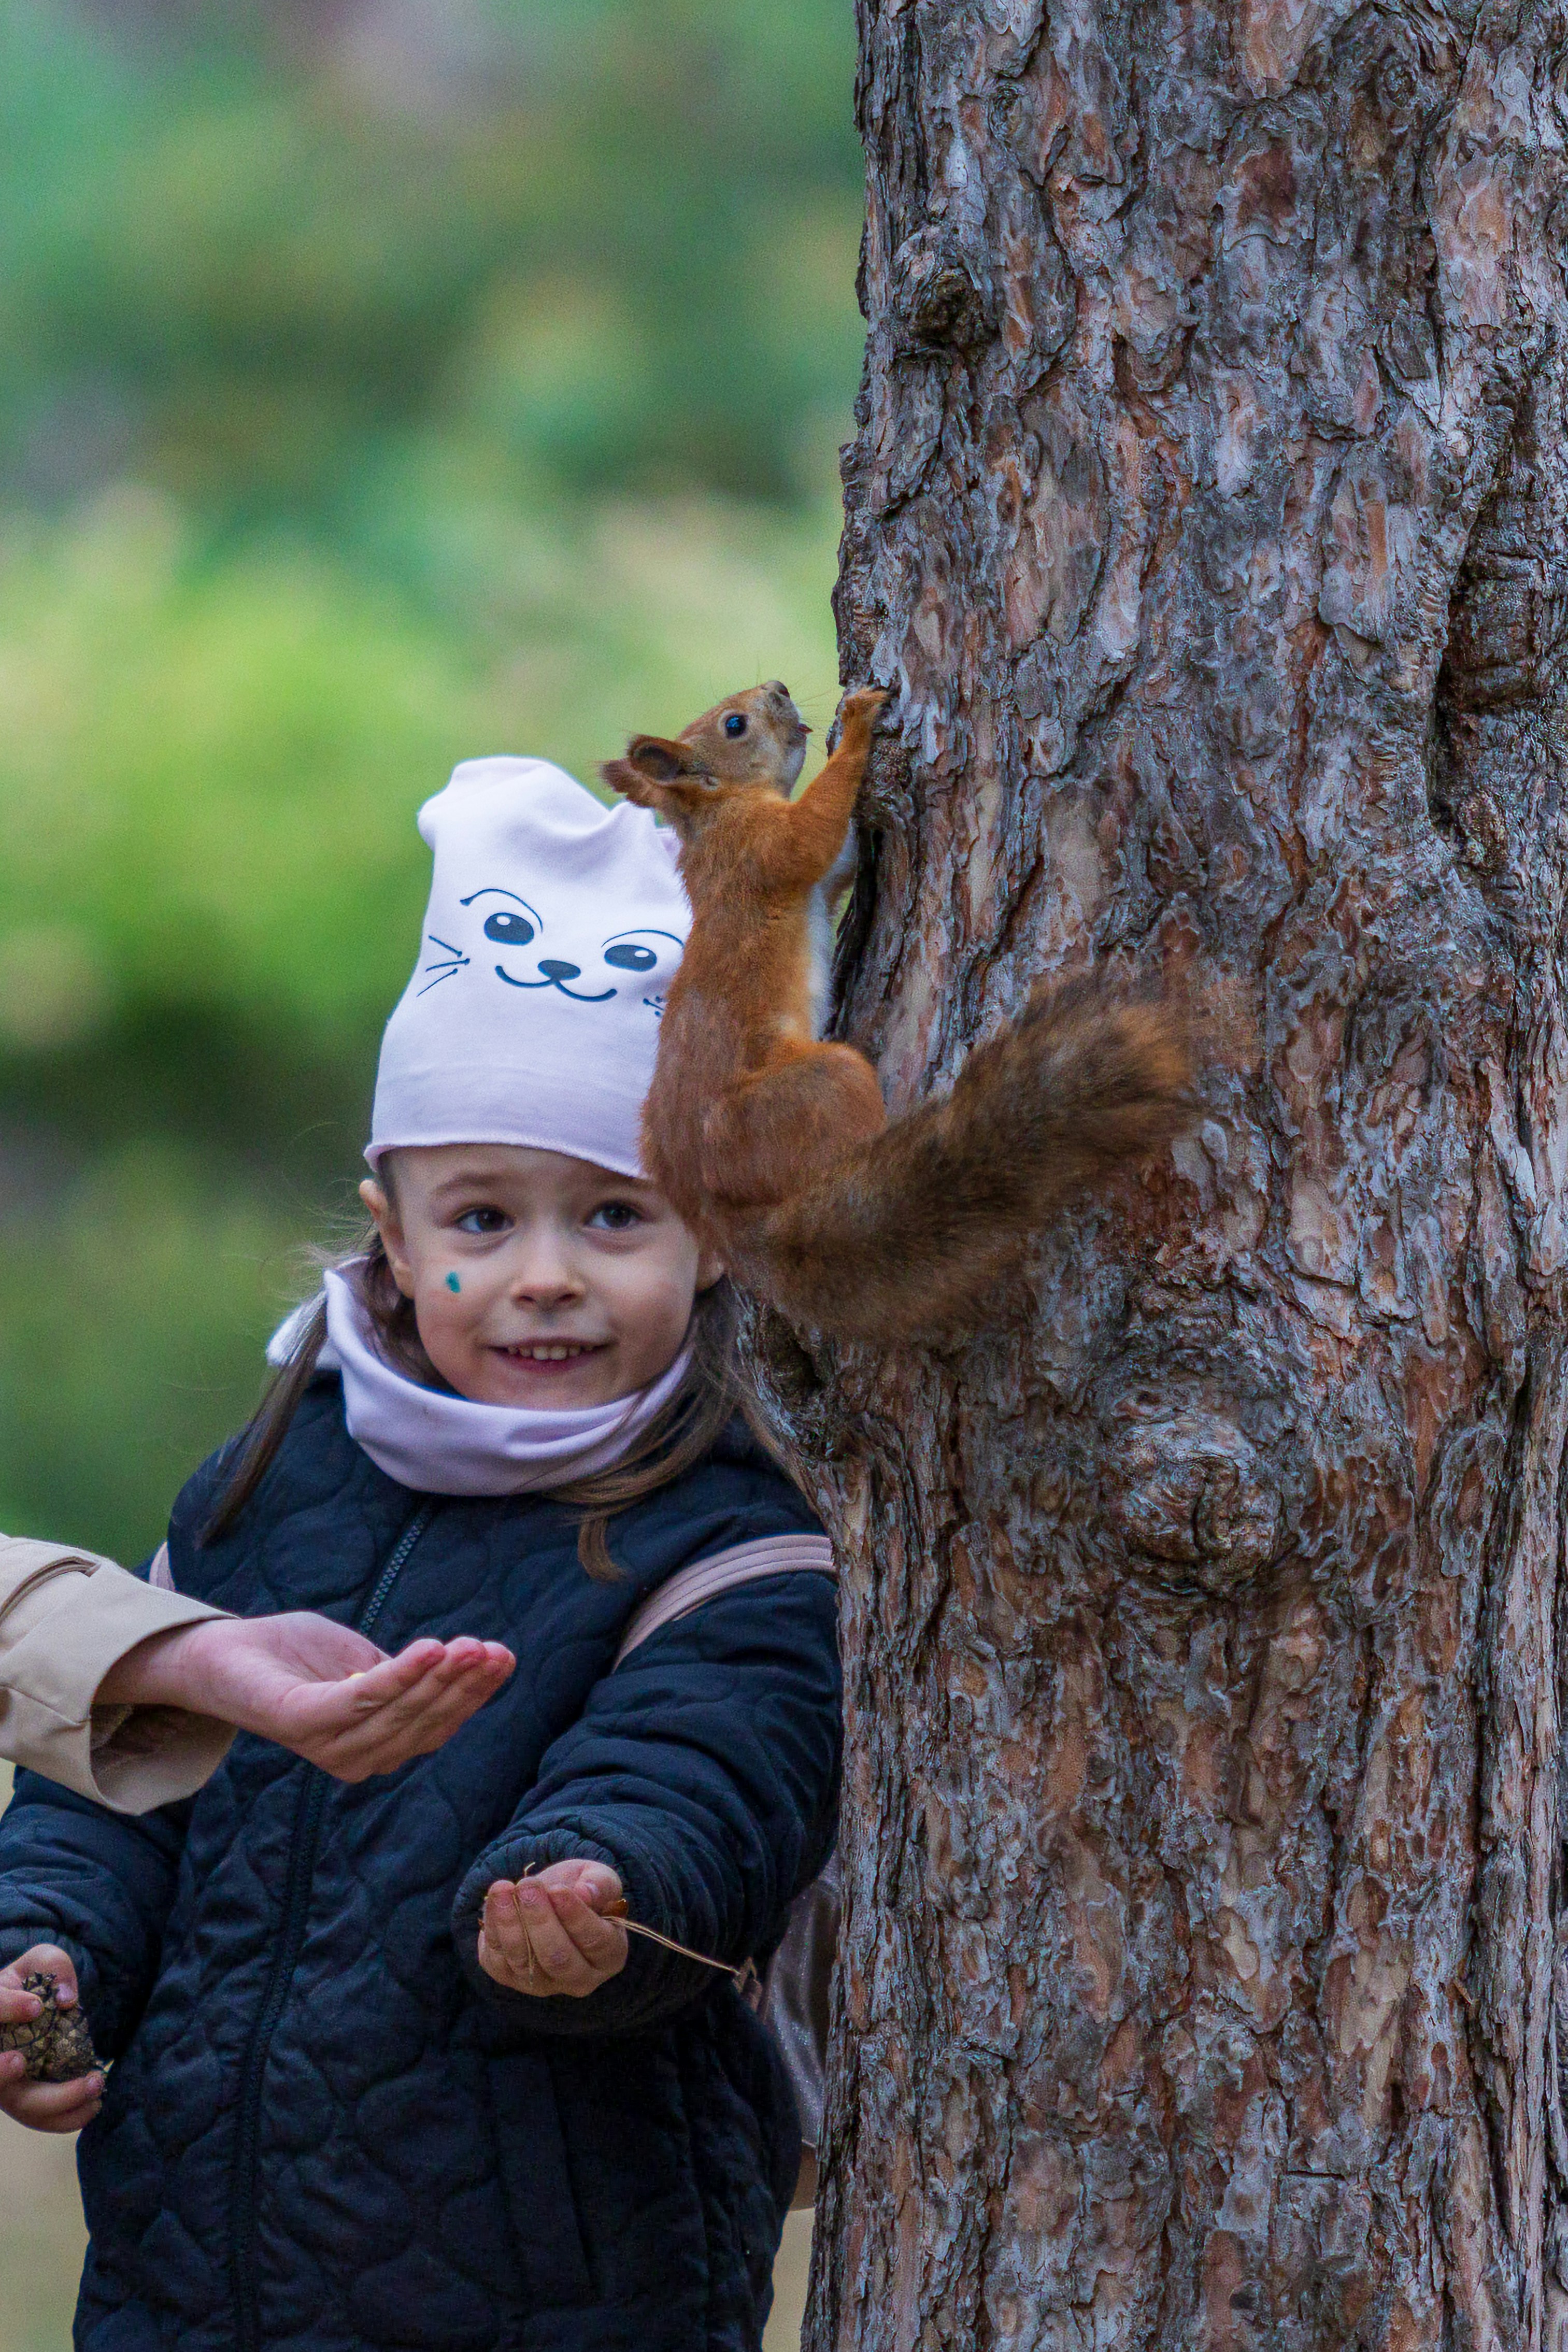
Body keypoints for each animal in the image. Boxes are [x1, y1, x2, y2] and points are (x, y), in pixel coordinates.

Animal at [602, 680, 1194, 1345]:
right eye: (735, 725)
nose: (779, 688)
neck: (716, 812)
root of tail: (713, 1211)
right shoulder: (757, 848)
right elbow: (809, 835)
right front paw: (859, 720)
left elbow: (833, 863)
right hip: (787, 1101)